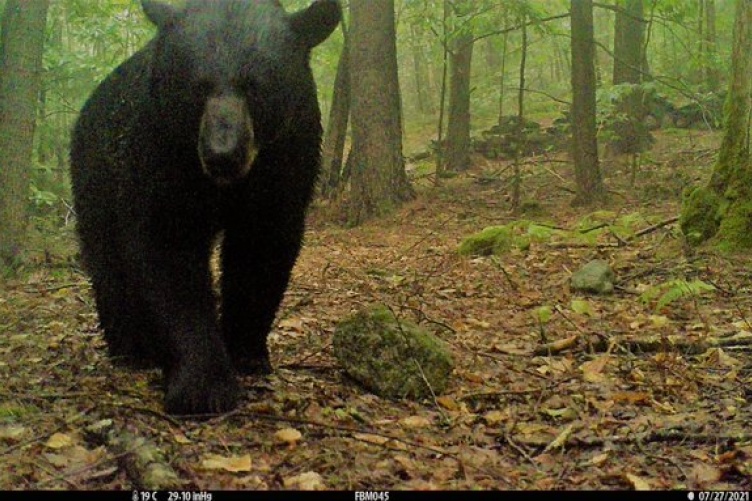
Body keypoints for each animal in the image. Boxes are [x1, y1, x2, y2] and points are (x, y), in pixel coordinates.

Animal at [70, 0, 340, 414]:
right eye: (197, 87)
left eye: (255, 86)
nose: (222, 155)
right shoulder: (162, 150)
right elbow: (168, 253)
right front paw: (202, 384)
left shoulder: (286, 157)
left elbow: (261, 248)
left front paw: (246, 353)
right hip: (95, 174)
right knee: (107, 258)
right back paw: (130, 347)